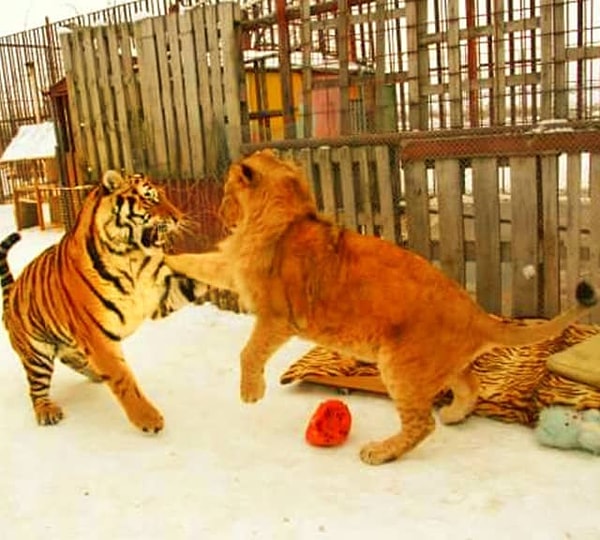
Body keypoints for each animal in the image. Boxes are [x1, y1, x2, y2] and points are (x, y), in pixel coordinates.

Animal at [0, 171, 209, 432]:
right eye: (149, 197)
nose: (178, 218)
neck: (130, 257)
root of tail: (11, 296)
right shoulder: (97, 336)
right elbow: (122, 378)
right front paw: (148, 419)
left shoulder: (157, 296)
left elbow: (195, 282)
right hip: (37, 354)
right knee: (36, 390)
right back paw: (46, 411)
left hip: (72, 348)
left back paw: (96, 375)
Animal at [163, 151, 596, 464]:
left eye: (225, 192)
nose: (221, 214)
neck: (286, 214)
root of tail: (476, 313)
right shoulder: (233, 270)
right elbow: (196, 262)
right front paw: (157, 254)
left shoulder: (278, 317)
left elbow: (249, 352)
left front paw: (250, 393)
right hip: (441, 365)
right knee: (471, 385)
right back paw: (454, 415)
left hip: (399, 365)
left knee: (421, 424)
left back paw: (381, 452)